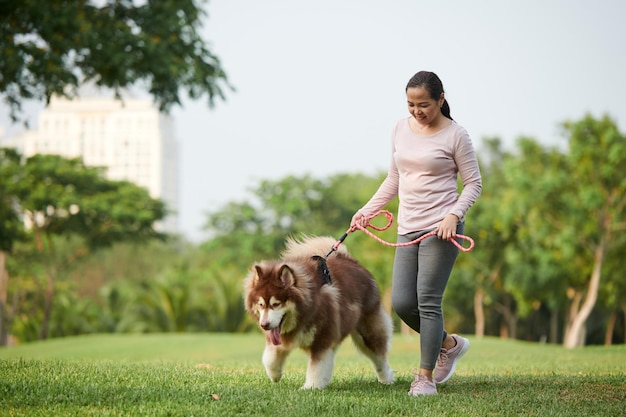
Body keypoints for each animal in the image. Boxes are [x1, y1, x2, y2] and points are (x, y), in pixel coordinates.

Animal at [241, 236, 392, 388]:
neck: (309, 305)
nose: (264, 325)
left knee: (379, 356)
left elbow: (317, 366)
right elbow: (269, 358)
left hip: (368, 331)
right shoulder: (280, 338)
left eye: (276, 304)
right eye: (261, 304)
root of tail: (352, 261)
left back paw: (387, 379)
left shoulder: (323, 337)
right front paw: (274, 375)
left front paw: (311, 386)